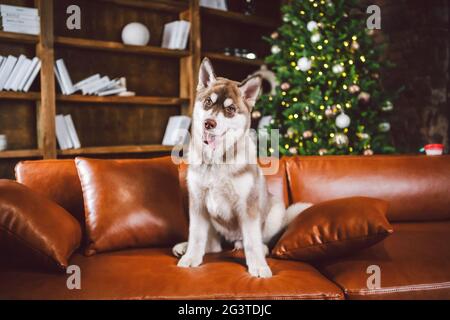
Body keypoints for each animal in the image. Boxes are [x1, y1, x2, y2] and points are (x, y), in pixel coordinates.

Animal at [172, 58, 310, 278]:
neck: (216, 162)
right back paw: (185, 248)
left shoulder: (248, 207)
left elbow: (252, 240)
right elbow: (197, 235)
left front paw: (259, 266)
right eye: (208, 102)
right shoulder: (198, 203)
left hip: (276, 210)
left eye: (230, 110)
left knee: (259, 241)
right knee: (213, 246)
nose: (209, 123)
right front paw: (191, 257)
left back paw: (254, 248)